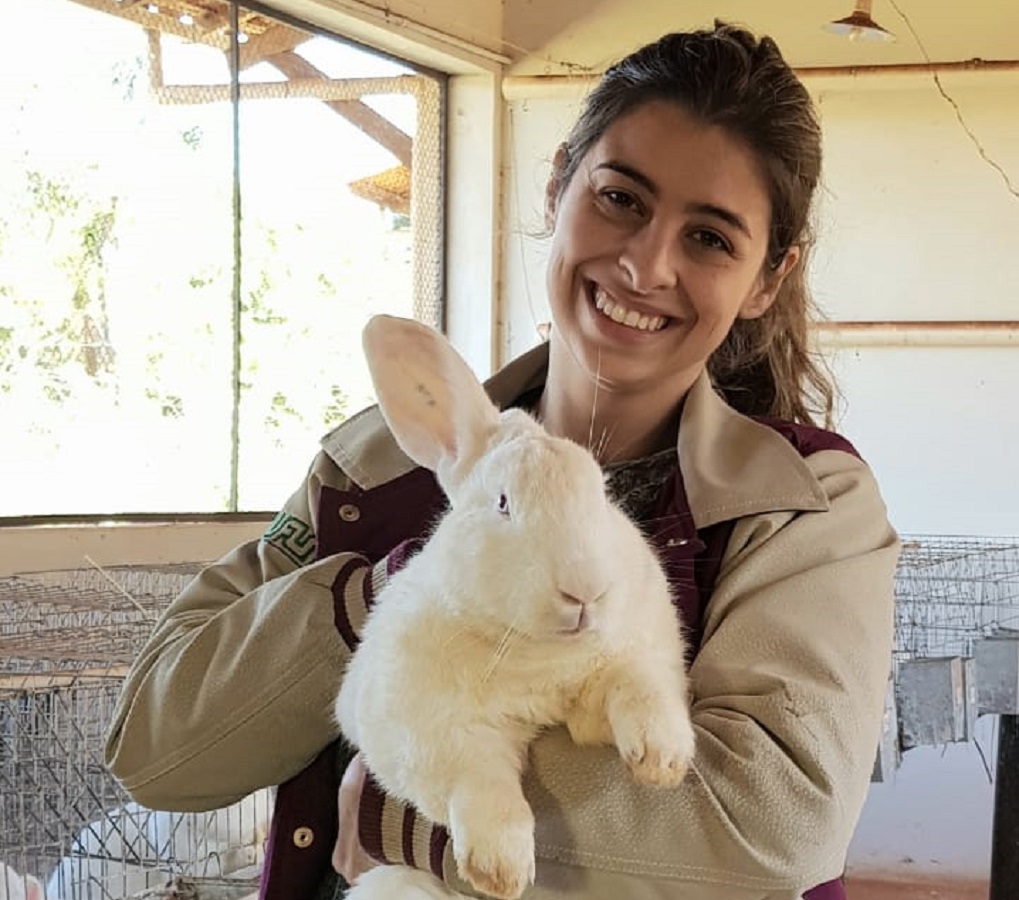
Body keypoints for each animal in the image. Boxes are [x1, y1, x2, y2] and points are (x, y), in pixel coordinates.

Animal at [334, 315, 696, 900]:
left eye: (603, 492)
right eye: (503, 504)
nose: (585, 591)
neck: (538, 652)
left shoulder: (633, 662)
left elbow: (638, 689)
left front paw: (662, 761)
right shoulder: (424, 727)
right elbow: (479, 778)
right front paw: (499, 869)